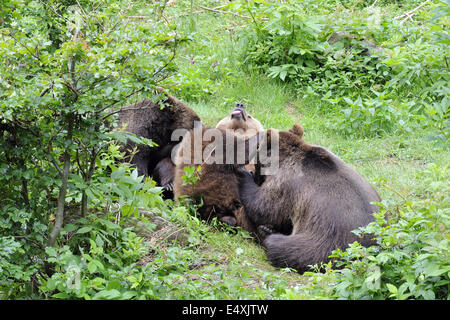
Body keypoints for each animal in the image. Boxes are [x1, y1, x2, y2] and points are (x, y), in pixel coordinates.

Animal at [237, 123, 382, 272]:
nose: (255, 176)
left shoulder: (286, 186)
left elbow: (263, 207)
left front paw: (244, 174)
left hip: (327, 243)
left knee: (280, 247)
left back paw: (266, 233)